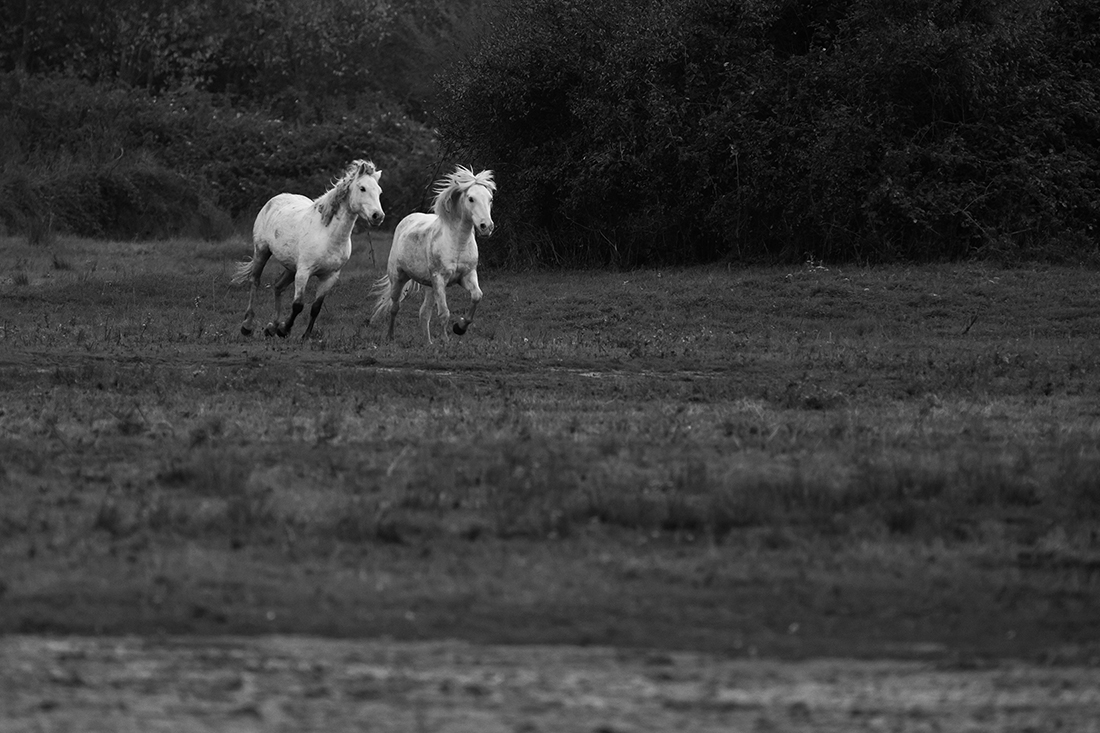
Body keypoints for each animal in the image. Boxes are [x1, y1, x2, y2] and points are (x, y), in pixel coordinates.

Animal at [232, 159, 383, 339]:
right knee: (255, 281)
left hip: (291, 267)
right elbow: (298, 305)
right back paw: (247, 326)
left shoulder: (329, 276)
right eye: (362, 188)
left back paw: (271, 327)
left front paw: (304, 335)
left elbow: (316, 307)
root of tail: (274, 200)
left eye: (379, 191)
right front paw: (284, 329)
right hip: (262, 251)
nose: (378, 216)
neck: (327, 235)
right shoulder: (304, 272)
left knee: (278, 286)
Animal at [368, 166, 495, 343]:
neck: (457, 243)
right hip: (399, 278)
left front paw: (460, 327)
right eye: (471, 199)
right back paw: (390, 337)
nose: (486, 227)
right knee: (395, 307)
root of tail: (406, 221)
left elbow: (477, 296)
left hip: (429, 286)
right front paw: (446, 341)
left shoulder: (467, 275)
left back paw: (428, 343)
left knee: (424, 313)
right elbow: (444, 313)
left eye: (490, 199)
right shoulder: (440, 279)